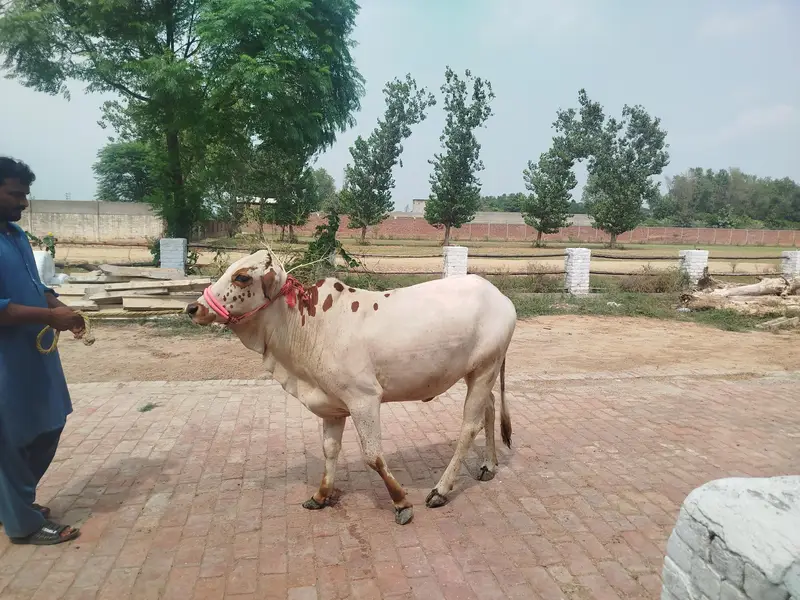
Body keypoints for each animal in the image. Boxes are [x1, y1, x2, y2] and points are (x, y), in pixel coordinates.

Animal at [186, 250, 516, 525]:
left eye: (241, 276)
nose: (193, 307)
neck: (308, 326)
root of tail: (499, 296)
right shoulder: (332, 406)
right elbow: (330, 450)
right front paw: (321, 495)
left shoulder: (364, 400)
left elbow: (373, 457)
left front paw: (401, 502)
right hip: (477, 373)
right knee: (489, 409)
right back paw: (488, 465)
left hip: (485, 368)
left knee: (469, 427)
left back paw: (442, 489)